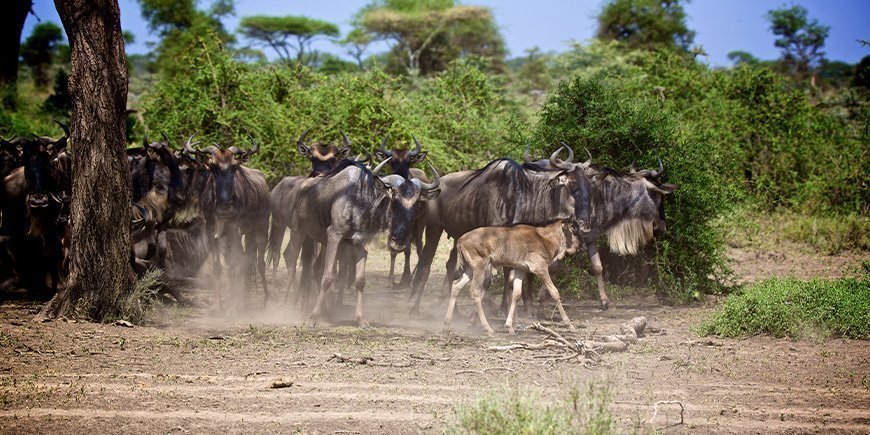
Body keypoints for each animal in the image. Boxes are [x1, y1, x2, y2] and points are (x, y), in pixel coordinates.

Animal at [446, 220, 584, 336]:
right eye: (574, 229)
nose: (580, 247)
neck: (545, 239)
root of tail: (460, 240)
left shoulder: (520, 270)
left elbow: (516, 295)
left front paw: (509, 327)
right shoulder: (540, 269)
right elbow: (555, 292)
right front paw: (570, 325)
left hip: (470, 269)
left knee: (456, 285)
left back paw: (447, 322)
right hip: (480, 267)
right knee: (474, 291)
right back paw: (487, 328)